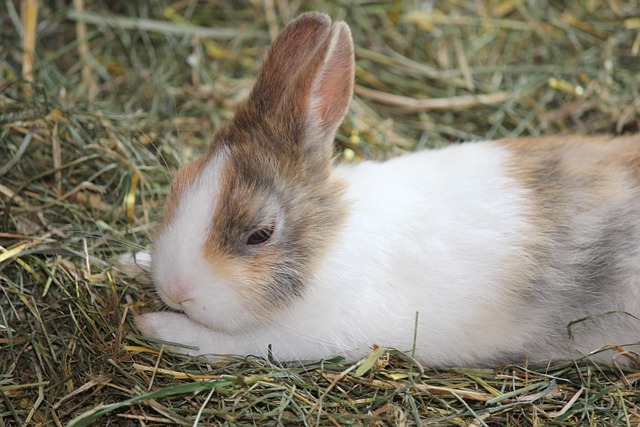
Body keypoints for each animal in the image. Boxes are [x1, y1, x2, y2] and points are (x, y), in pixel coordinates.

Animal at [134, 11, 640, 367]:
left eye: (260, 234)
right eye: (177, 185)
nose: (176, 290)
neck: (332, 243)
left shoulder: (301, 335)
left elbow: (225, 342)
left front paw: (156, 324)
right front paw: (133, 261)